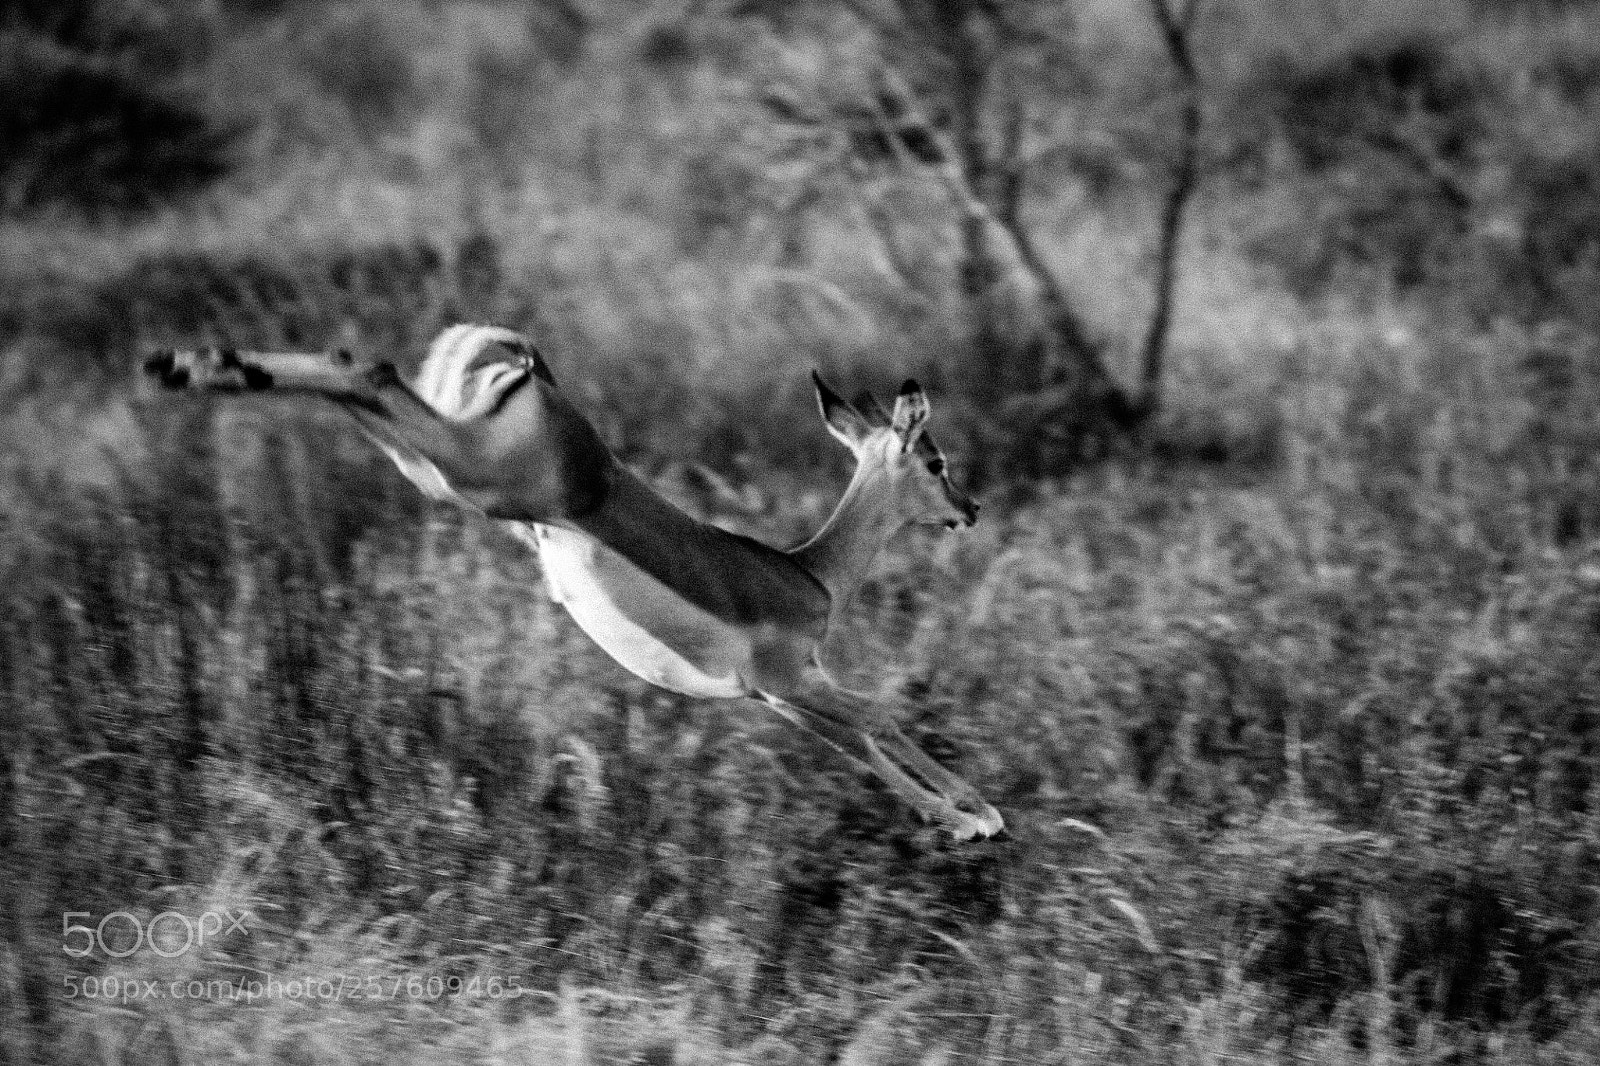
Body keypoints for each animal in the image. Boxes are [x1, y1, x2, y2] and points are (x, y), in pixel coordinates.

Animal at [144, 325, 1003, 839]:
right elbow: (880, 716)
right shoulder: (791, 680)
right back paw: (182, 364)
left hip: (442, 476)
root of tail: (536, 375)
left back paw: (188, 364)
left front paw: (957, 818)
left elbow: (858, 746)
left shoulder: (780, 699)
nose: (970, 509)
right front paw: (976, 815)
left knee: (363, 380)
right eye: (936, 460)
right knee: (372, 370)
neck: (805, 574)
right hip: (481, 477)